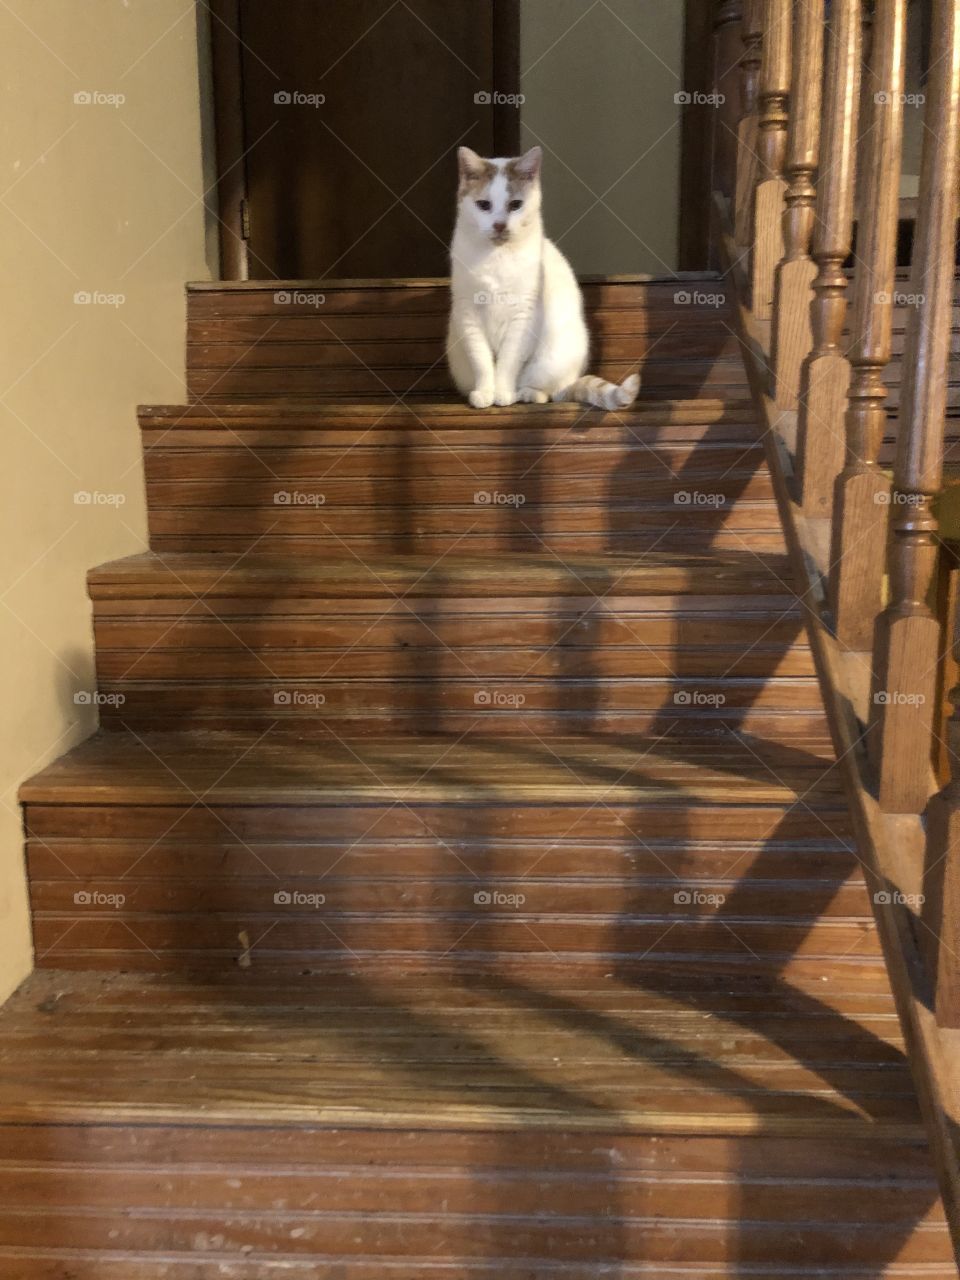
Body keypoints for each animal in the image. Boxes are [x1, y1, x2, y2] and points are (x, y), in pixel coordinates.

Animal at [448, 147, 642, 412]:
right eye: (484, 205)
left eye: (515, 205)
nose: (499, 225)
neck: (497, 257)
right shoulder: (468, 315)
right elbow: (482, 361)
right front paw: (486, 392)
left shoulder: (523, 316)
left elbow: (508, 362)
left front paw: (503, 393)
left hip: (553, 360)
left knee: (552, 392)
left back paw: (526, 393)